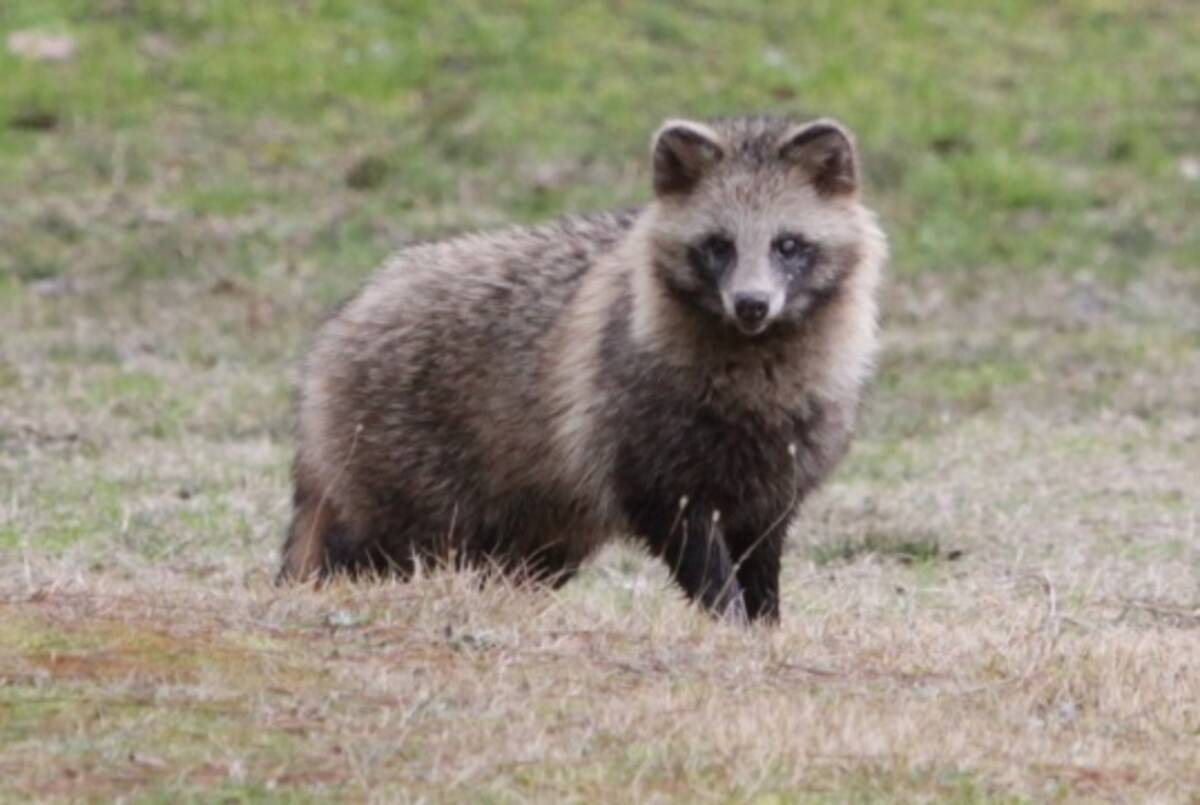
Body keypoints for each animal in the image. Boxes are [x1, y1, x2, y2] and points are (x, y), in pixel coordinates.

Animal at [278, 116, 883, 628]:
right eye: (718, 246)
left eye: (788, 244)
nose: (752, 305)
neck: (757, 365)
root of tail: (343, 321)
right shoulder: (643, 445)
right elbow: (693, 547)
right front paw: (727, 618)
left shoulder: (782, 466)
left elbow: (762, 556)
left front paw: (763, 624)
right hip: (405, 470)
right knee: (366, 549)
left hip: (541, 522)